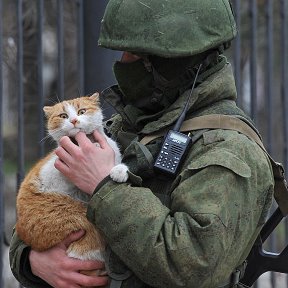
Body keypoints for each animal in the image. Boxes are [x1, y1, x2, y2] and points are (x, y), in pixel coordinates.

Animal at [15, 93, 128, 284]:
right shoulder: (52, 174)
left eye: (81, 111)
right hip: (76, 215)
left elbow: (115, 164)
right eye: (63, 116)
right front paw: (95, 148)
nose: (74, 120)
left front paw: (119, 171)